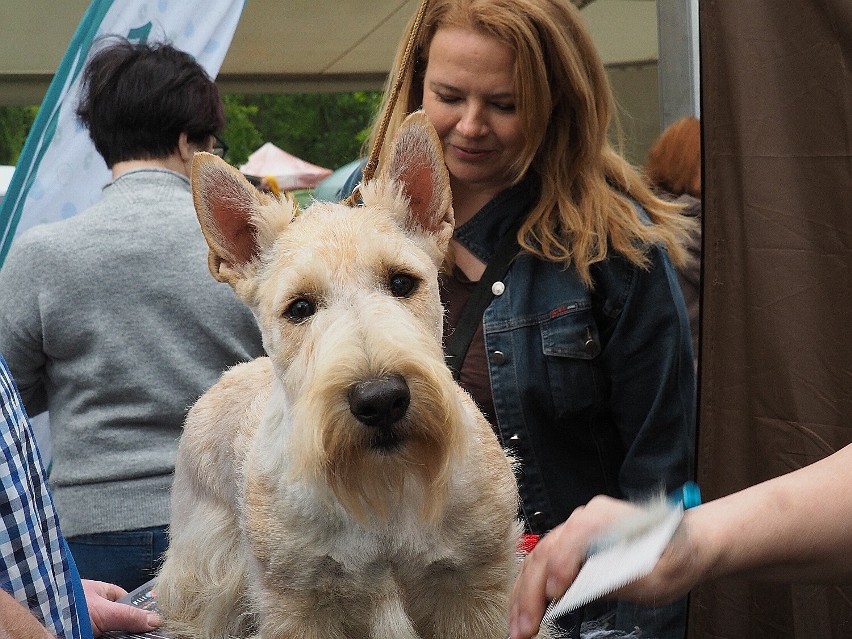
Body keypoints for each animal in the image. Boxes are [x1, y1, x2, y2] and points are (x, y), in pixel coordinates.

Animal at [153, 115, 532, 639]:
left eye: (401, 282)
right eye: (299, 308)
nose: (381, 400)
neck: (385, 492)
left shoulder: (476, 591)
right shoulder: (302, 605)